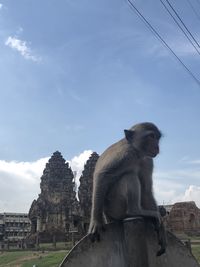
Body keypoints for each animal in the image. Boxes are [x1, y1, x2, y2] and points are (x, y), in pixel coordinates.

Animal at [88, 122, 166, 256]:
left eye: (157, 138)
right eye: (151, 136)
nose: (157, 147)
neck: (137, 152)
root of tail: (109, 217)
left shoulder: (148, 160)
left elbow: (146, 190)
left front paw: (160, 230)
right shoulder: (125, 155)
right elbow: (102, 176)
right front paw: (96, 221)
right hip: (114, 206)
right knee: (129, 176)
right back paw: (134, 211)